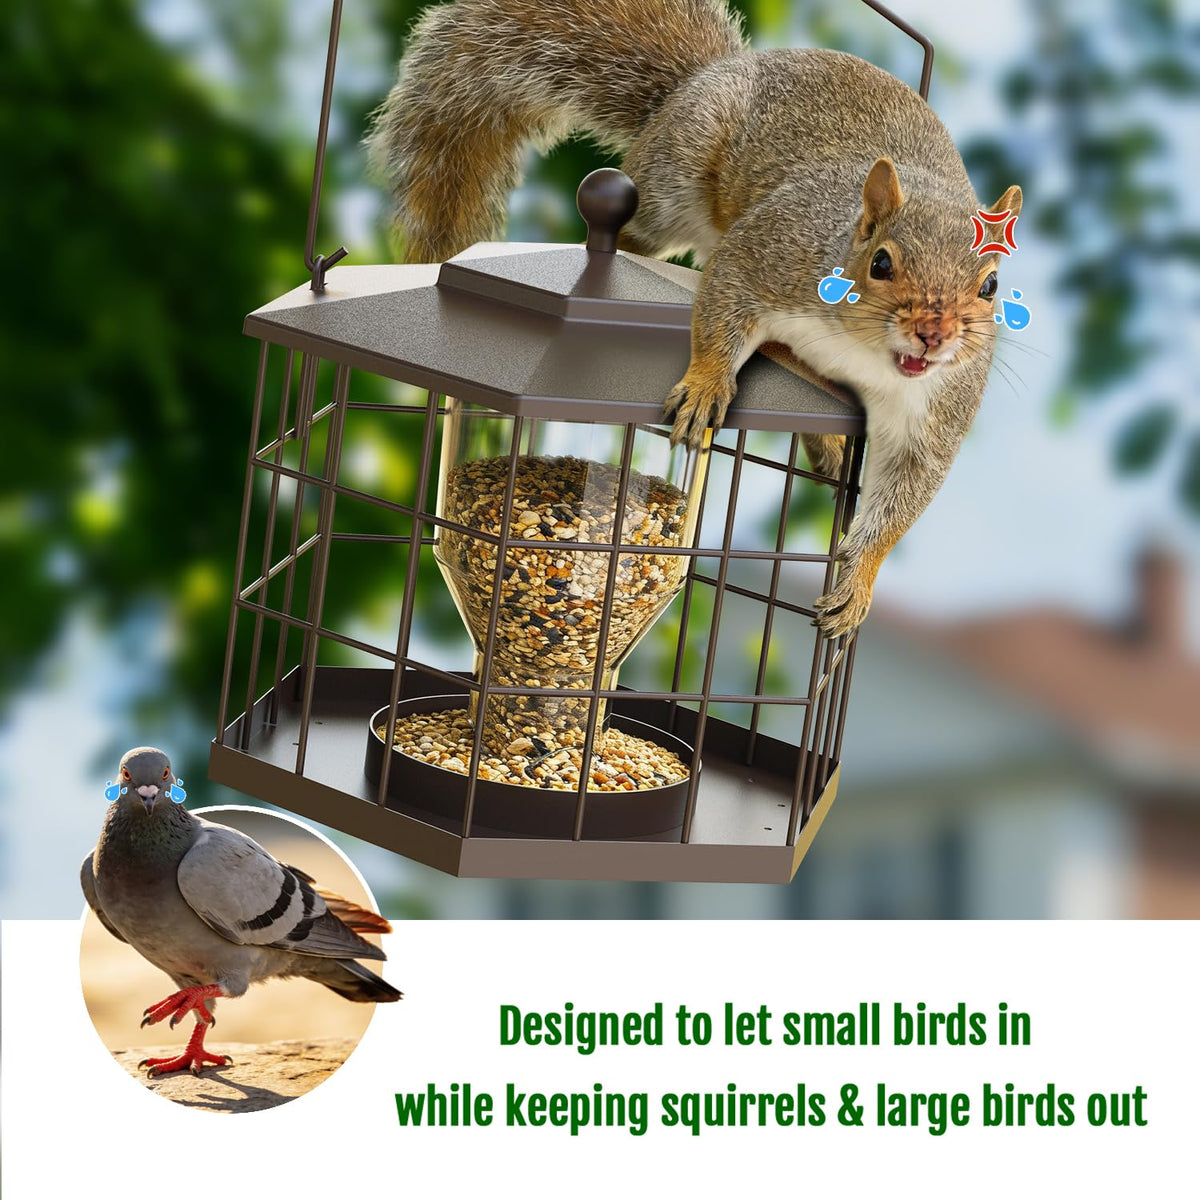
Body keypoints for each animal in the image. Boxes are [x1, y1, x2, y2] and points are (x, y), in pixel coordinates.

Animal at [367, 0, 1022, 637]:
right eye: (881, 262)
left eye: (991, 285)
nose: (934, 335)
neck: (862, 350)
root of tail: (715, 71)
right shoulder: (771, 253)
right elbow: (723, 302)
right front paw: (707, 385)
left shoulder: (937, 409)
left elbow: (901, 498)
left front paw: (857, 584)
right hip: (673, 182)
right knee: (643, 232)